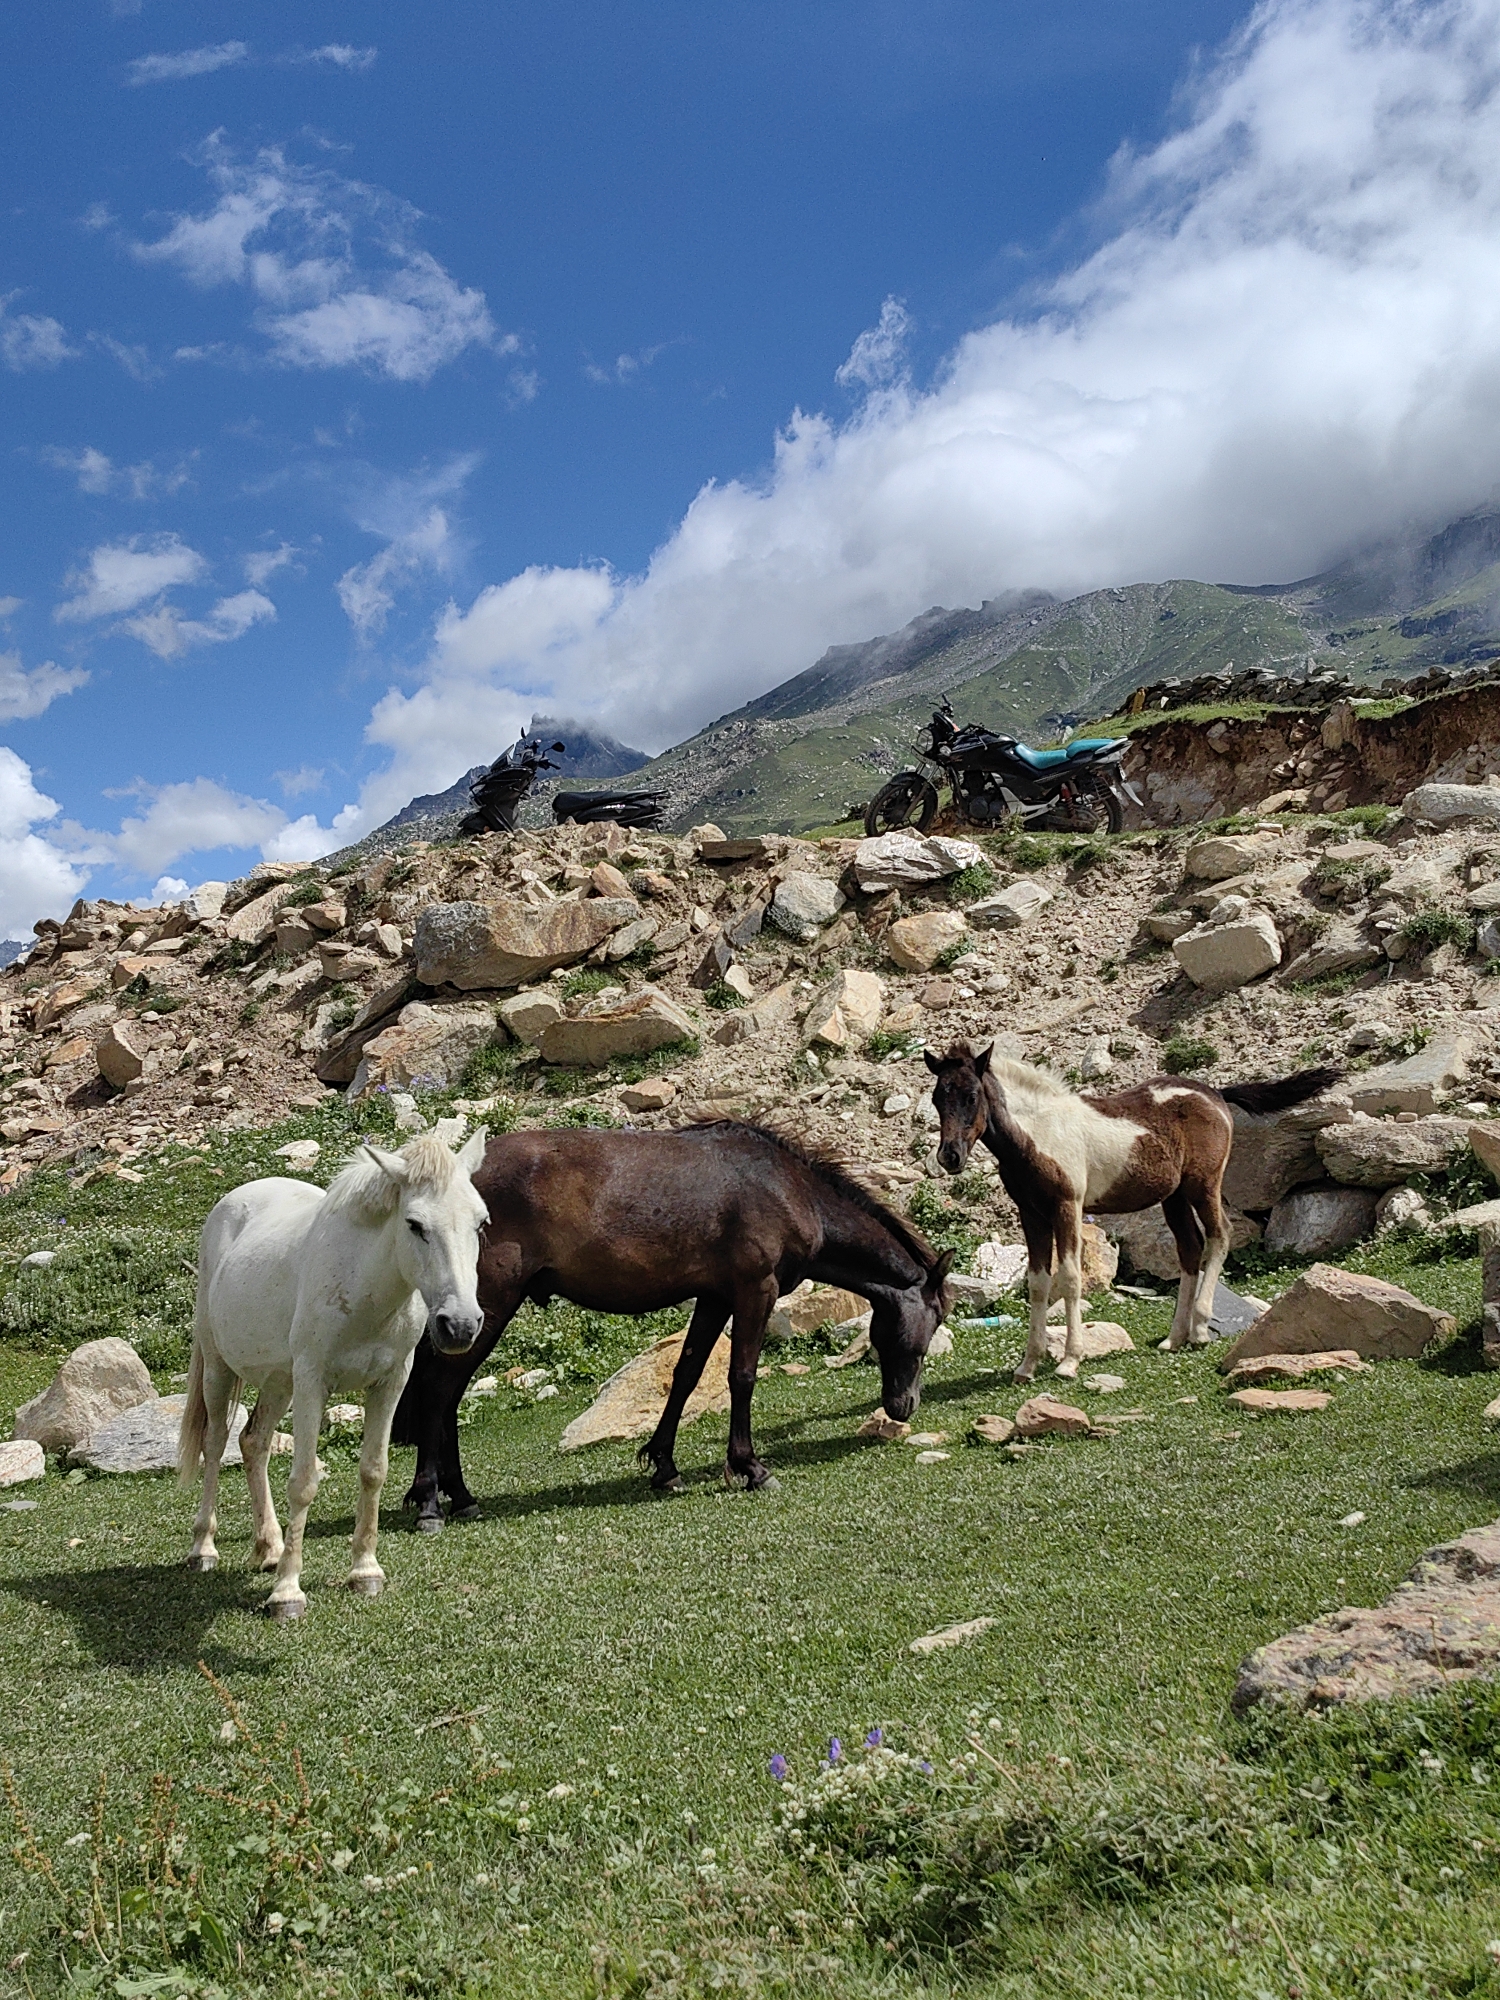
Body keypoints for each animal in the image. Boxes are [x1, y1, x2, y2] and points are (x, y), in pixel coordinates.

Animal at [178, 1120, 489, 1619]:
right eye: (415, 1224)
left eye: (481, 1222)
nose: (459, 1325)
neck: (364, 1289)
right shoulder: (313, 1383)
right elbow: (304, 1482)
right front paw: (287, 1593)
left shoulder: (389, 1383)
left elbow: (374, 1470)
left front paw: (365, 1571)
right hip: (221, 1369)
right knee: (214, 1444)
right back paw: (204, 1549)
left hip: (278, 1382)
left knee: (253, 1442)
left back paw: (269, 1548)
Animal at [391, 1120, 953, 1528]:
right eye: (932, 1326)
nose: (904, 1406)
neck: (787, 1188)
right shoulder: (755, 1290)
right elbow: (741, 1377)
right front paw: (750, 1467)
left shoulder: (714, 1297)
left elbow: (686, 1374)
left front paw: (664, 1465)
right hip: (486, 1306)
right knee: (440, 1389)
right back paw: (431, 1502)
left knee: (448, 1393)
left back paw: (459, 1495)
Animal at [924, 1043, 1339, 1381]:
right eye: (937, 1098)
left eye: (972, 1095)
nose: (949, 1157)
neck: (1039, 1135)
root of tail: (1216, 1094)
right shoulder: (1032, 1213)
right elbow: (1038, 1283)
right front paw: (1027, 1366)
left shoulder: (1067, 1207)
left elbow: (1070, 1278)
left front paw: (1069, 1361)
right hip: (1174, 1196)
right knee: (1190, 1249)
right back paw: (1174, 1338)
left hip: (1203, 1185)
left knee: (1219, 1235)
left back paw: (1200, 1329)